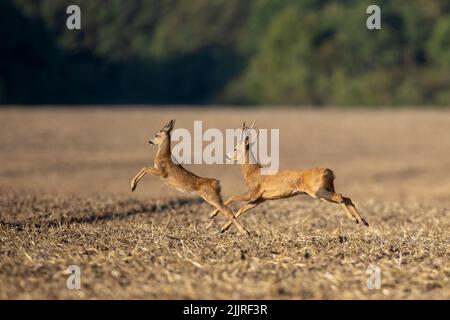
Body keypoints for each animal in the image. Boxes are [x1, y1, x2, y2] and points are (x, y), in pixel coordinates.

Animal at [211, 122, 370, 232]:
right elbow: (242, 209)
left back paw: (355, 220)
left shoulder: (252, 193)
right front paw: (223, 229)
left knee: (340, 197)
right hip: (326, 190)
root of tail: (329, 172)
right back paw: (363, 221)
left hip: (319, 192)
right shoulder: (260, 199)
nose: (226, 156)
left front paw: (212, 215)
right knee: (347, 198)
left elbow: (232, 197)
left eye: (235, 148)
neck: (254, 172)